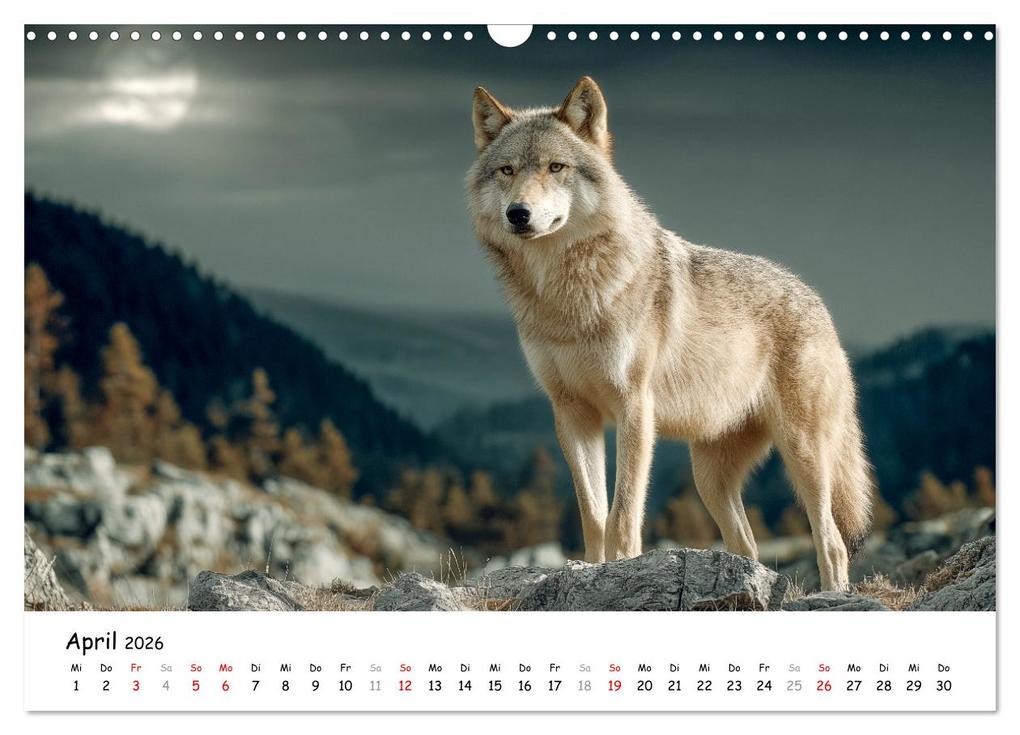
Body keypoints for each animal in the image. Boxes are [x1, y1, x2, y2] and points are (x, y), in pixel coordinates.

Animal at [466, 77, 874, 591]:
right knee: (748, 545)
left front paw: (620, 568)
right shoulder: (572, 413)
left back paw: (831, 594)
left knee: (833, 541)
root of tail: (818, 302)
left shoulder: (635, 408)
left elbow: (622, 515)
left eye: (556, 167)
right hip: (709, 477)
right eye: (507, 170)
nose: (518, 213)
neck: (566, 299)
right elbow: (593, 514)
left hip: (804, 457)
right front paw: (590, 571)